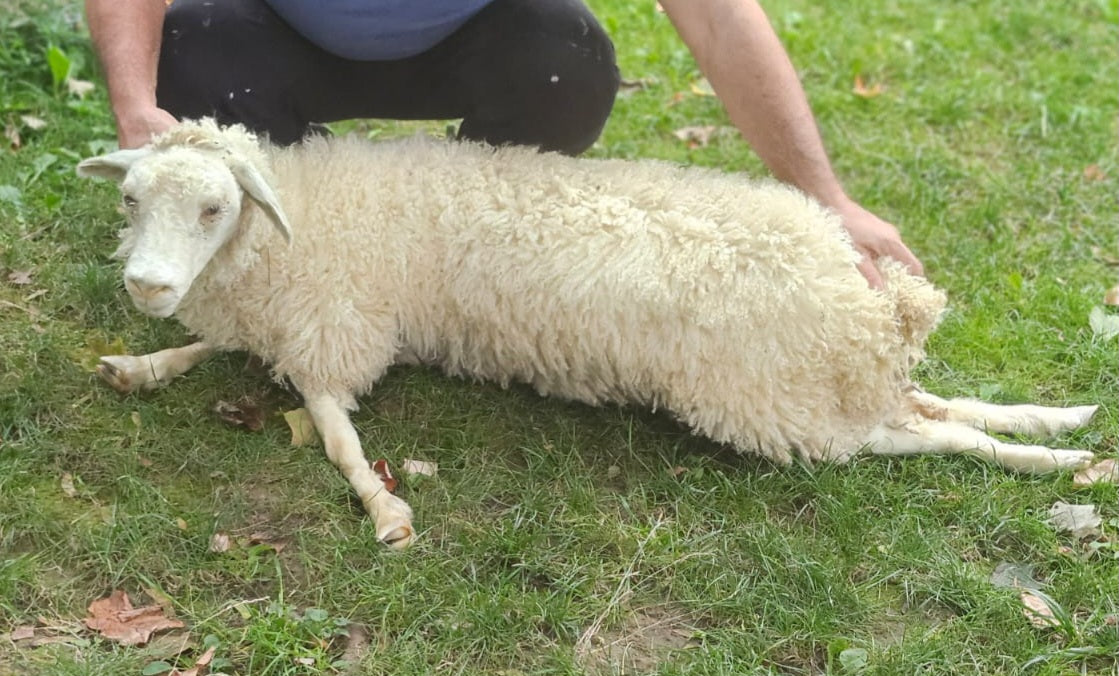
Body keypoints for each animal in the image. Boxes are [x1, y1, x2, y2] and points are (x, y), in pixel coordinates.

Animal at [77, 118, 1099, 549]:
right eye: (131, 200)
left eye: (213, 208)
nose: (147, 285)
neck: (302, 220)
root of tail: (873, 311)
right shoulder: (306, 320)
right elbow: (224, 350)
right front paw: (144, 361)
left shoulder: (339, 329)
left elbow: (335, 437)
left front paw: (383, 510)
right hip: (812, 389)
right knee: (933, 405)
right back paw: (1060, 431)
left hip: (775, 404)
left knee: (924, 435)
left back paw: (1055, 461)